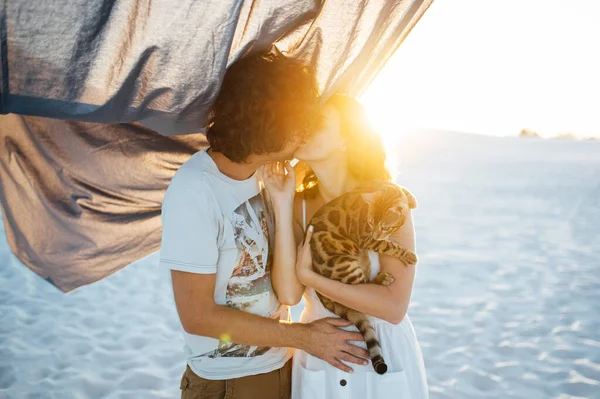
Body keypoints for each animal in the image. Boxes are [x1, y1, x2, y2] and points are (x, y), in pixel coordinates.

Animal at [308, 181, 414, 376]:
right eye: (371, 223)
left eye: (385, 227)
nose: (376, 234)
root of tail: (323, 296)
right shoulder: (367, 239)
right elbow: (388, 246)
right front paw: (408, 255)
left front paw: (411, 198)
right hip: (346, 265)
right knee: (362, 285)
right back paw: (382, 279)